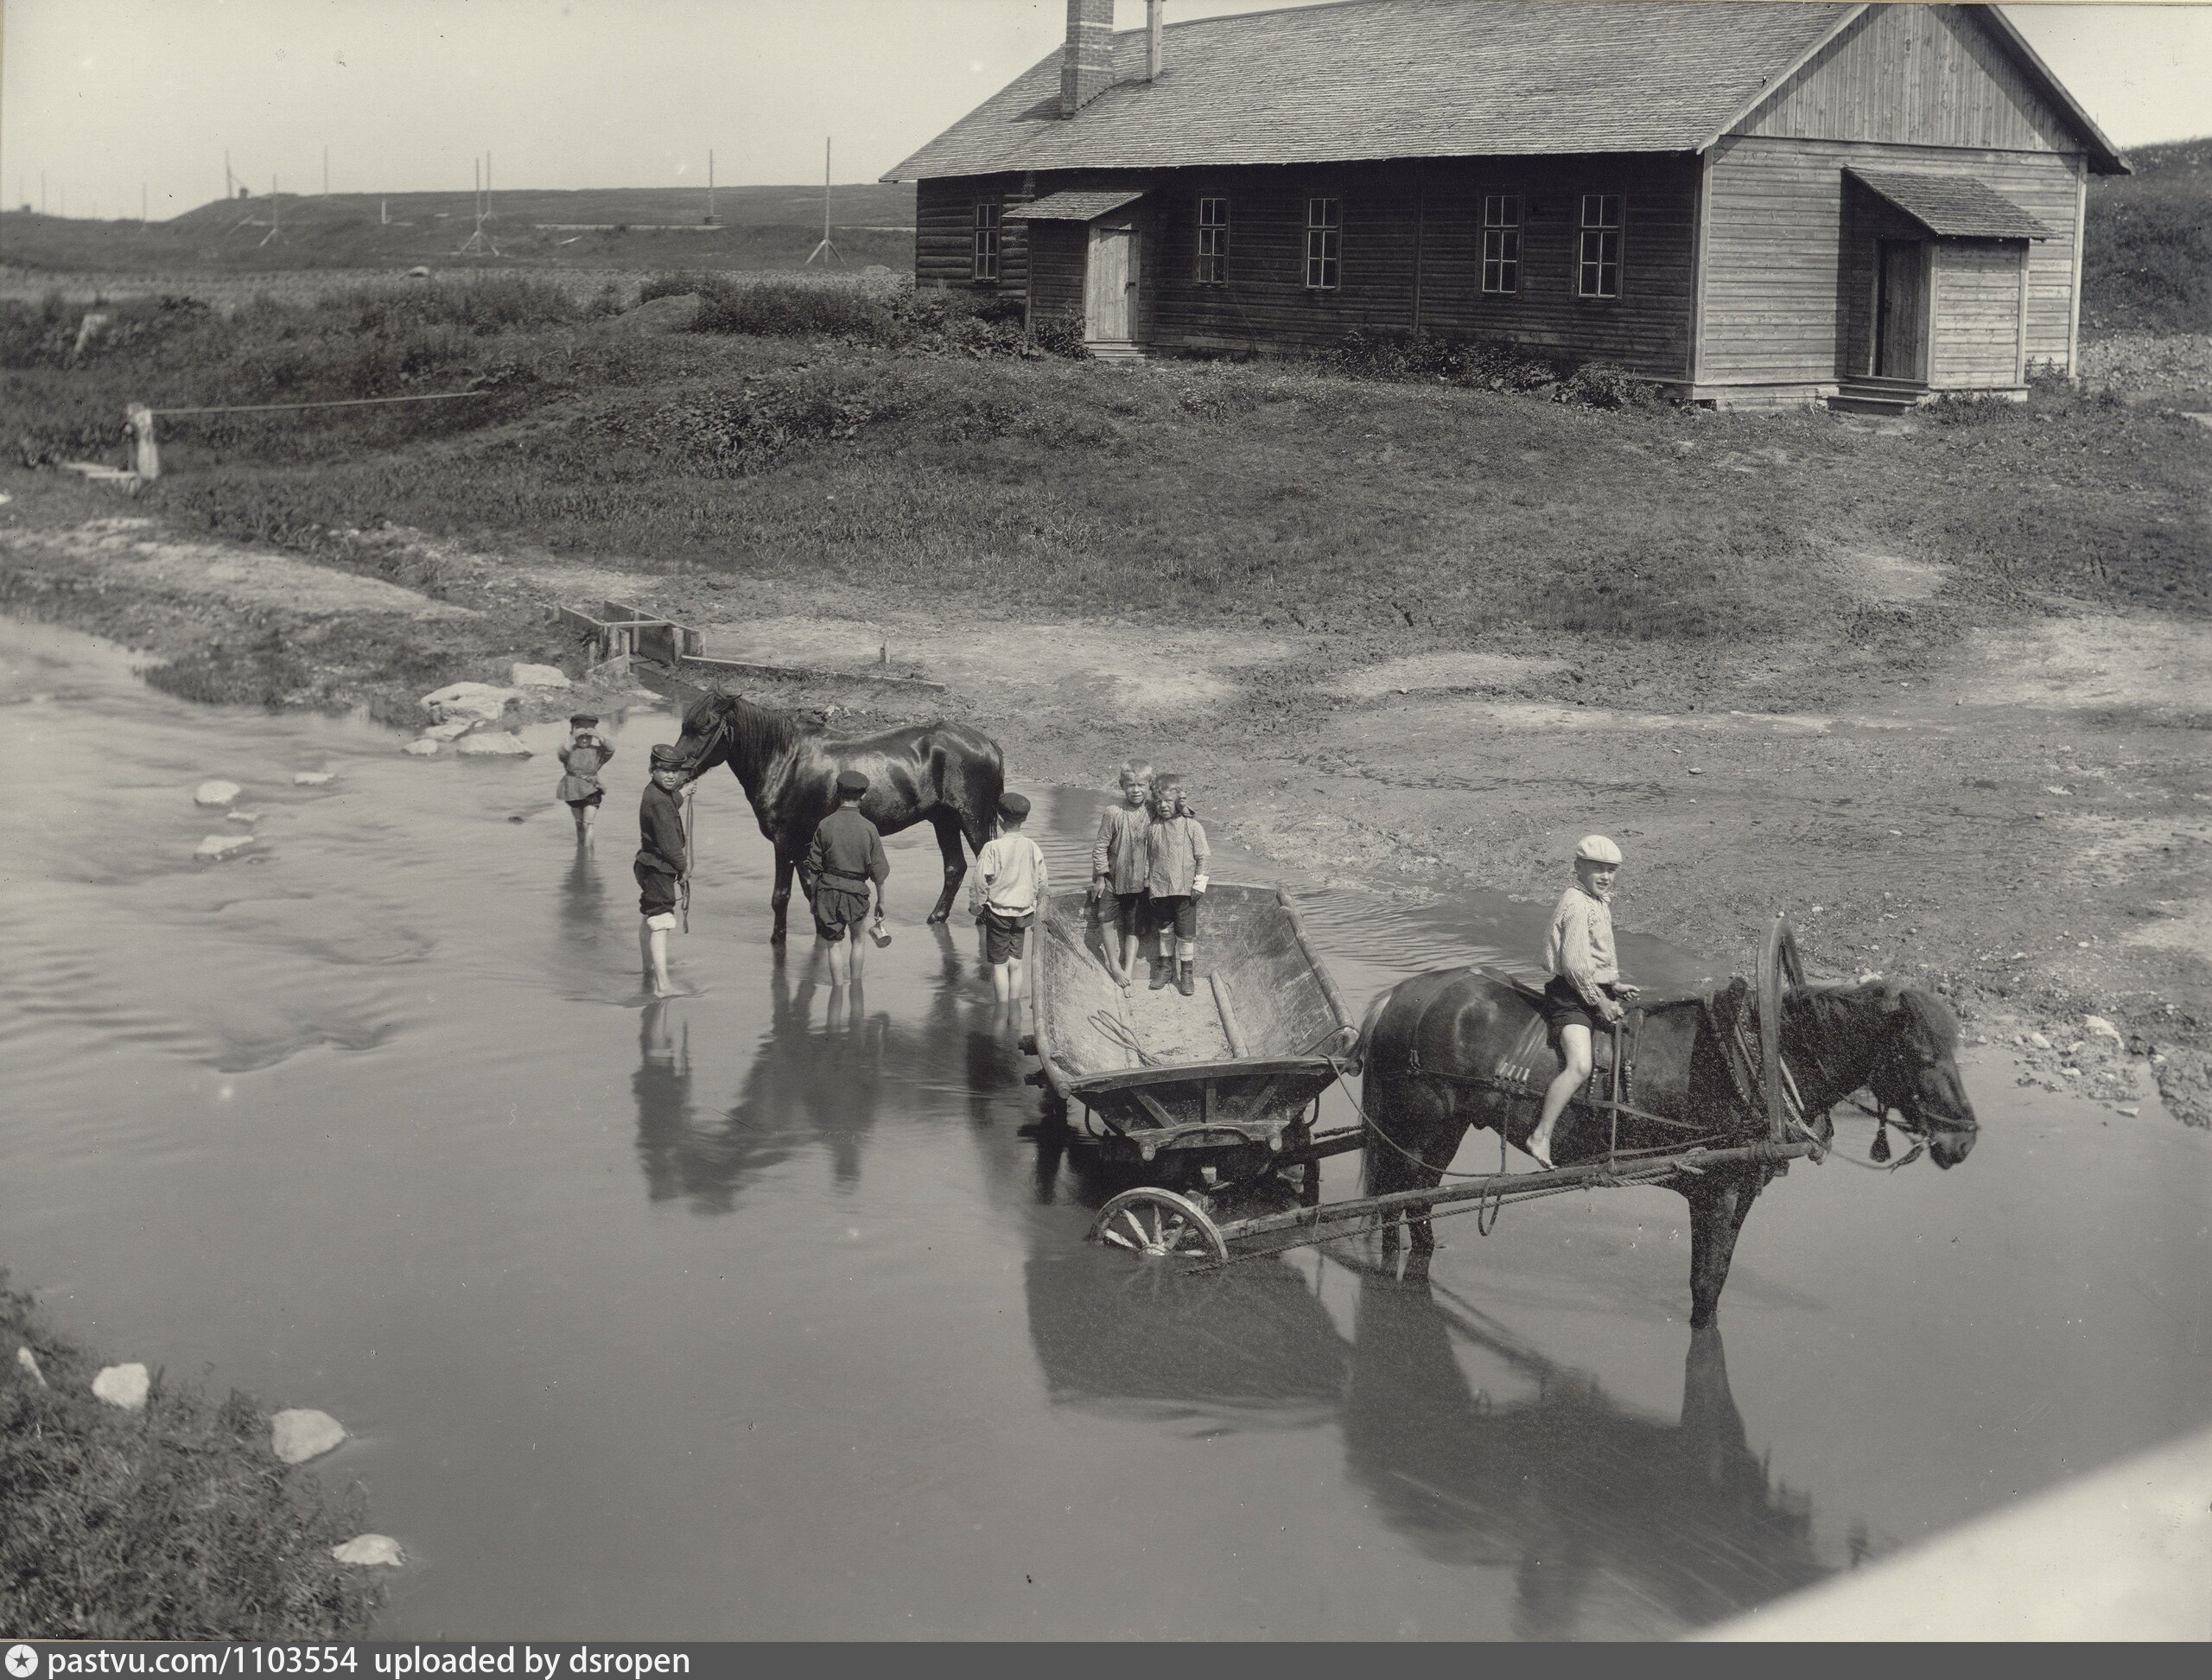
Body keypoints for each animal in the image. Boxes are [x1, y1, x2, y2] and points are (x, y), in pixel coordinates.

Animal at [672, 685, 1013, 947]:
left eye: (704, 728)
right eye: (684, 727)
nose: (675, 771)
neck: (784, 760)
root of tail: (988, 744)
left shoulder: (785, 841)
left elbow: (781, 895)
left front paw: (777, 941)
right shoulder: (804, 843)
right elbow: (811, 891)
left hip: (972, 820)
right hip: (944, 820)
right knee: (955, 867)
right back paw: (937, 918)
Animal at [1353, 973, 1981, 1327]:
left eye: (1955, 1051)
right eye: (1923, 1055)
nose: (1965, 1139)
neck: (1759, 1061)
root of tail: (1395, 998)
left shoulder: (1737, 1192)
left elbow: (1715, 1281)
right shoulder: (1717, 1192)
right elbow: (1705, 1290)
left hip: (1439, 1130)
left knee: (1410, 1198)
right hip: (1419, 1125)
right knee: (1396, 1197)